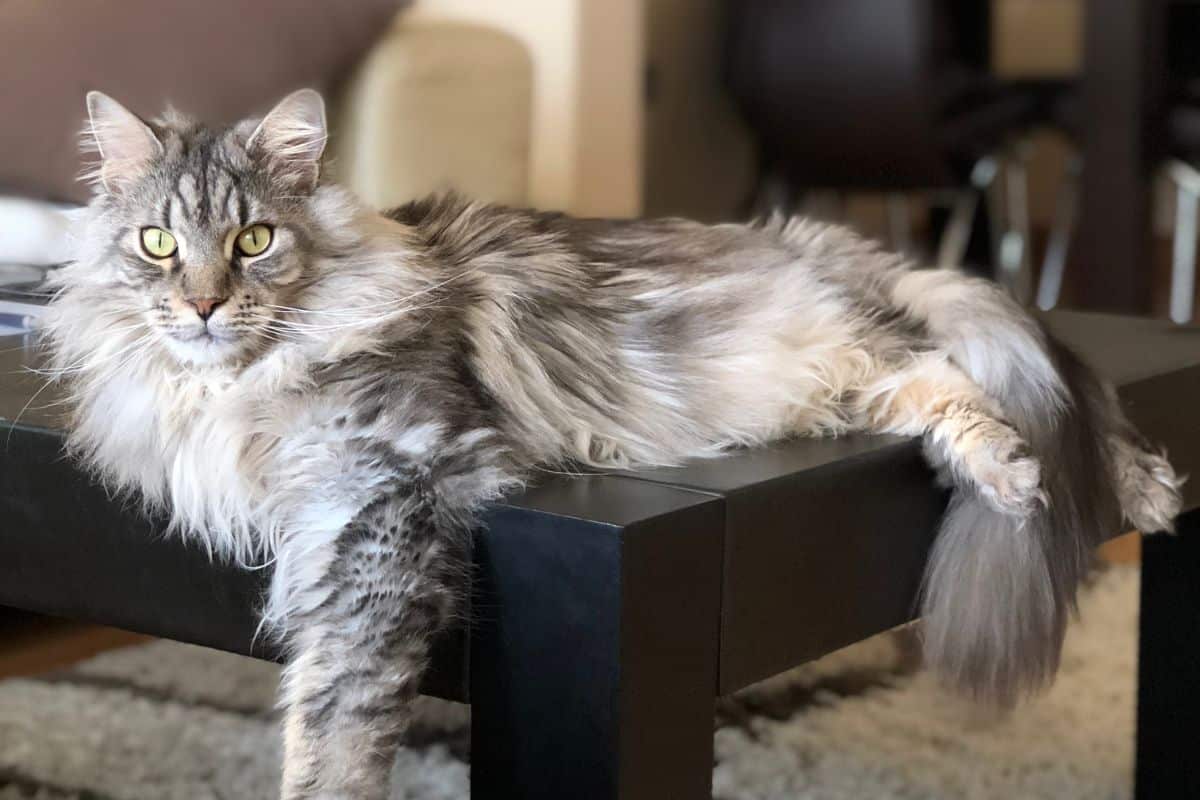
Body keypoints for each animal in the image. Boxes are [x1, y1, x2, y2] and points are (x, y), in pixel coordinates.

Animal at [44, 90, 1180, 796]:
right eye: (158, 244)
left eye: (254, 242)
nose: (200, 306)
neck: (226, 387)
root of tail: (813, 239)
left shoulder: (382, 499)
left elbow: (334, 715)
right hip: (846, 381)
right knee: (966, 391)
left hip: (867, 343)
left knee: (1021, 393)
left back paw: (1086, 483)